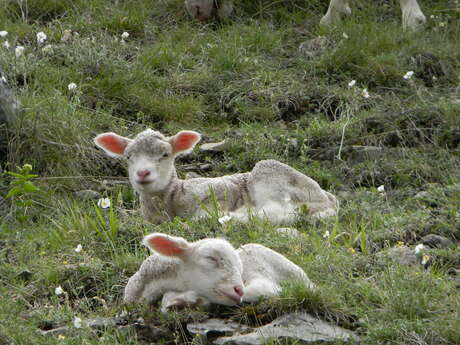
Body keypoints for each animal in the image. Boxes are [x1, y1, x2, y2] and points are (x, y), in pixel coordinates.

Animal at [93, 128, 338, 223]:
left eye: (165, 154)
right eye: (128, 157)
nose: (143, 172)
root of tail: (328, 198)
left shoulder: (218, 192)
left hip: (269, 176)